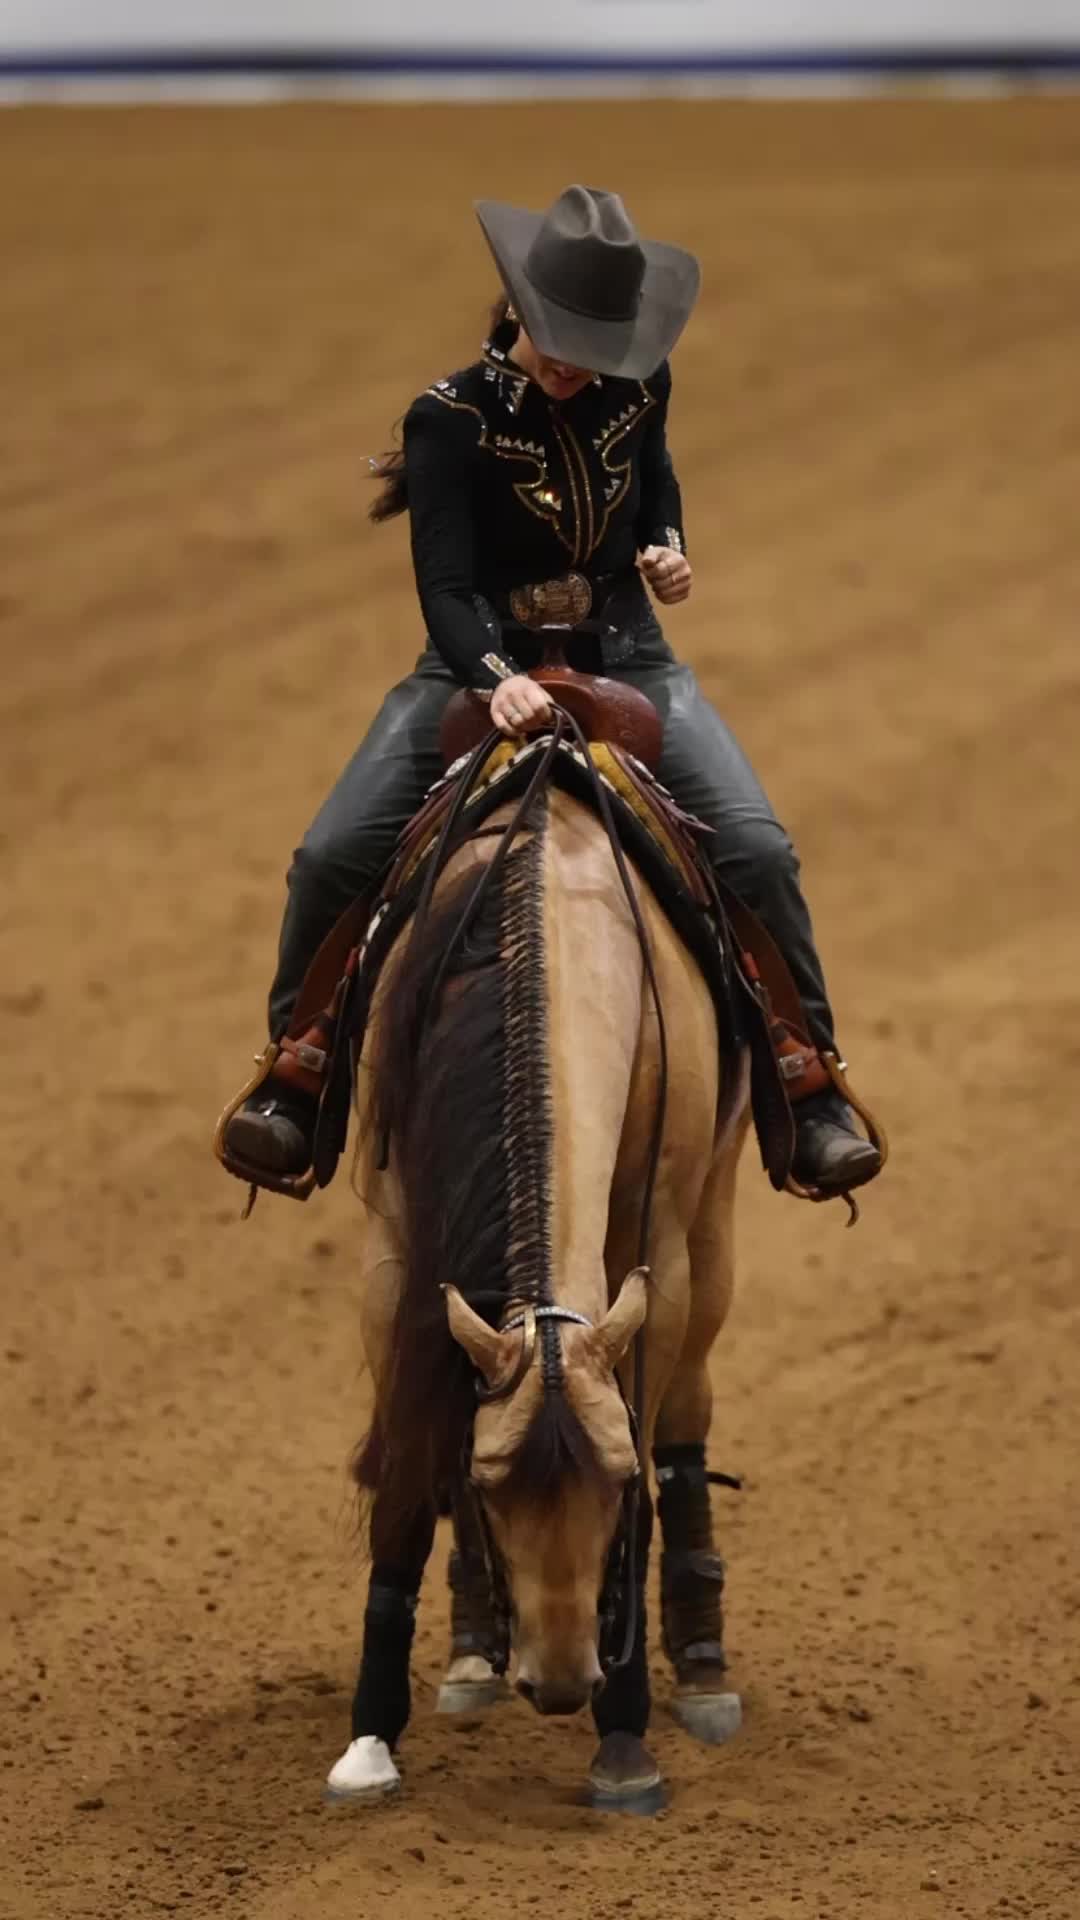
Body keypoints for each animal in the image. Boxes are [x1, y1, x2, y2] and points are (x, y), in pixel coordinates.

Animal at [326, 695, 751, 1809]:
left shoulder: (659, 1255)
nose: (560, 1682)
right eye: (489, 1489)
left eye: (611, 1487)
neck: (550, 938)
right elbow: (409, 1462)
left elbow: (652, 1440)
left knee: (689, 1412)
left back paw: (702, 1666)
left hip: (716, 1224)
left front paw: (625, 1736)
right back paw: (473, 1650)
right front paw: (370, 1733)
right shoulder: (396, 1249)